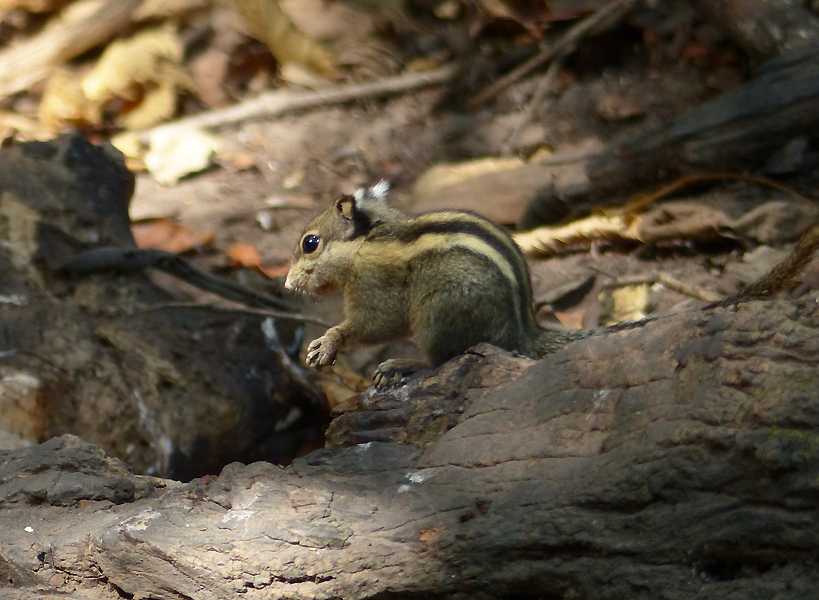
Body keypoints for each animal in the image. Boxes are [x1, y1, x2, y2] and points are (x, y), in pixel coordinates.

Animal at [286, 182, 819, 384]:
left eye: (310, 243)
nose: (288, 285)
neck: (367, 242)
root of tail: (524, 331)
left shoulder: (376, 288)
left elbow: (373, 324)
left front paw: (329, 341)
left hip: (438, 314)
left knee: (444, 359)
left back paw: (405, 363)